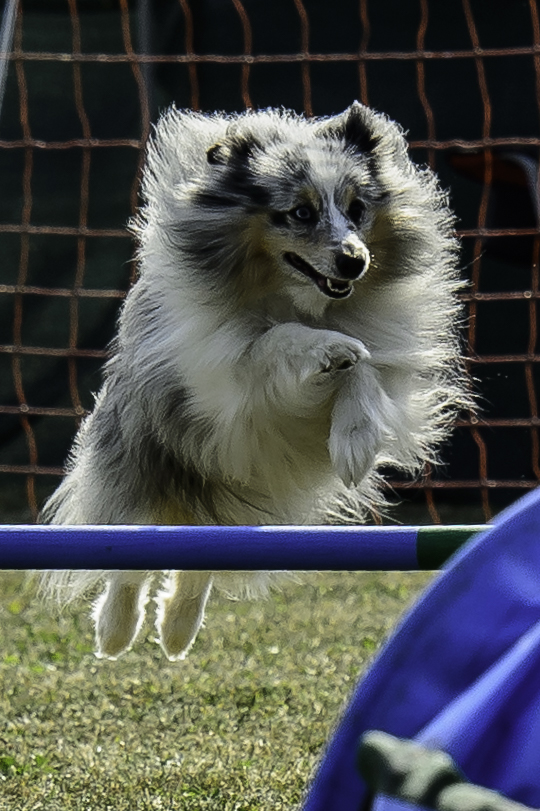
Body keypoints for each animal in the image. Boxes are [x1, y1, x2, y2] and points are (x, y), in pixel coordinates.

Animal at [39, 103, 468, 660]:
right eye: (300, 212)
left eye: (357, 209)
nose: (354, 260)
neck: (296, 298)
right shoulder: (226, 381)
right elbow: (276, 342)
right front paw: (329, 348)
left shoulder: (380, 353)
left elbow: (367, 370)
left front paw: (354, 440)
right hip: (144, 463)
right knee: (128, 556)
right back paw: (115, 632)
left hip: (233, 506)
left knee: (199, 558)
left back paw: (176, 630)